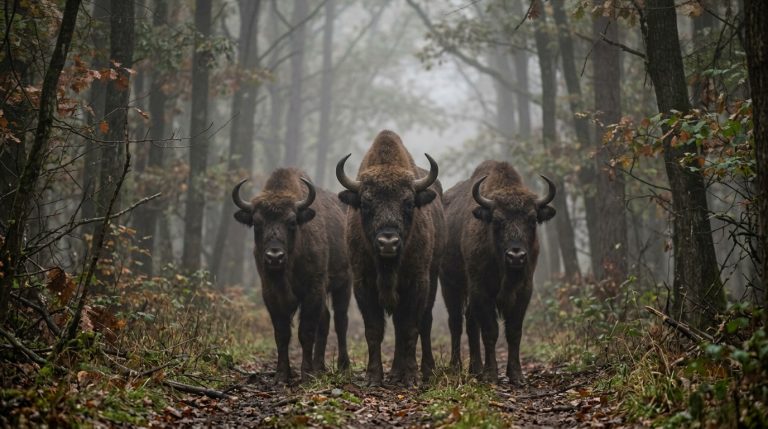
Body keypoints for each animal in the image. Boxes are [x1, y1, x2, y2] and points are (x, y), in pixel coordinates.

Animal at [232, 168, 351, 384]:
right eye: (257, 223)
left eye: (292, 221)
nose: (274, 257)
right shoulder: (270, 294)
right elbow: (282, 333)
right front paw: (282, 374)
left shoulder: (312, 291)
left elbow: (306, 331)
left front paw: (306, 374)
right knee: (326, 320)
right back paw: (320, 366)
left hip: (344, 284)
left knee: (340, 321)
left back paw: (343, 366)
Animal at [336, 130, 444, 386]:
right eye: (366, 202)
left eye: (408, 202)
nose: (388, 242)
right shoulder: (363, 284)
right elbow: (374, 330)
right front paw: (373, 377)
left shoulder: (418, 283)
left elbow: (411, 328)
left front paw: (412, 377)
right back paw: (395, 372)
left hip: (433, 277)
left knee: (424, 323)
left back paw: (425, 370)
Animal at [440, 160, 556, 385]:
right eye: (497, 221)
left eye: (532, 220)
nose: (516, 256)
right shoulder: (481, 291)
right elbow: (490, 331)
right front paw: (491, 374)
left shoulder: (524, 291)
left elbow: (514, 331)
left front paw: (516, 375)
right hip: (449, 284)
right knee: (456, 322)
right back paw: (456, 366)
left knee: (470, 322)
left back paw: (475, 368)